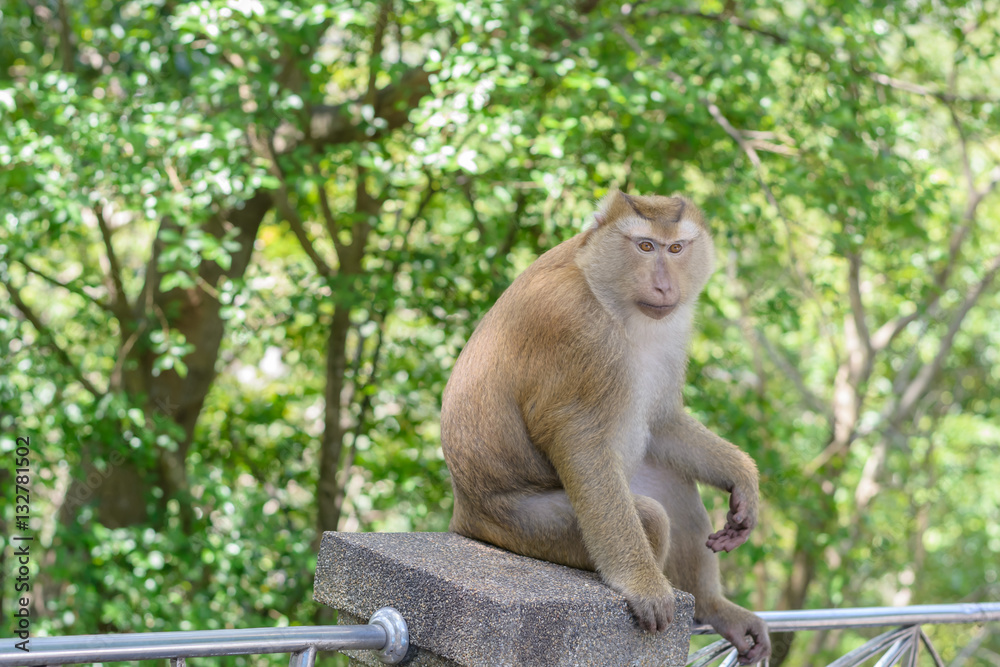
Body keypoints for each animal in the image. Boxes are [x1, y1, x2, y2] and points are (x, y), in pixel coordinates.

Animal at [440, 190, 770, 664]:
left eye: (676, 248)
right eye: (645, 246)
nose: (664, 285)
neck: (605, 289)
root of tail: (464, 513)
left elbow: (660, 420)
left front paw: (741, 478)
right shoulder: (578, 329)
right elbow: (580, 443)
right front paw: (642, 585)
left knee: (672, 482)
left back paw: (713, 608)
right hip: (522, 525)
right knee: (649, 515)